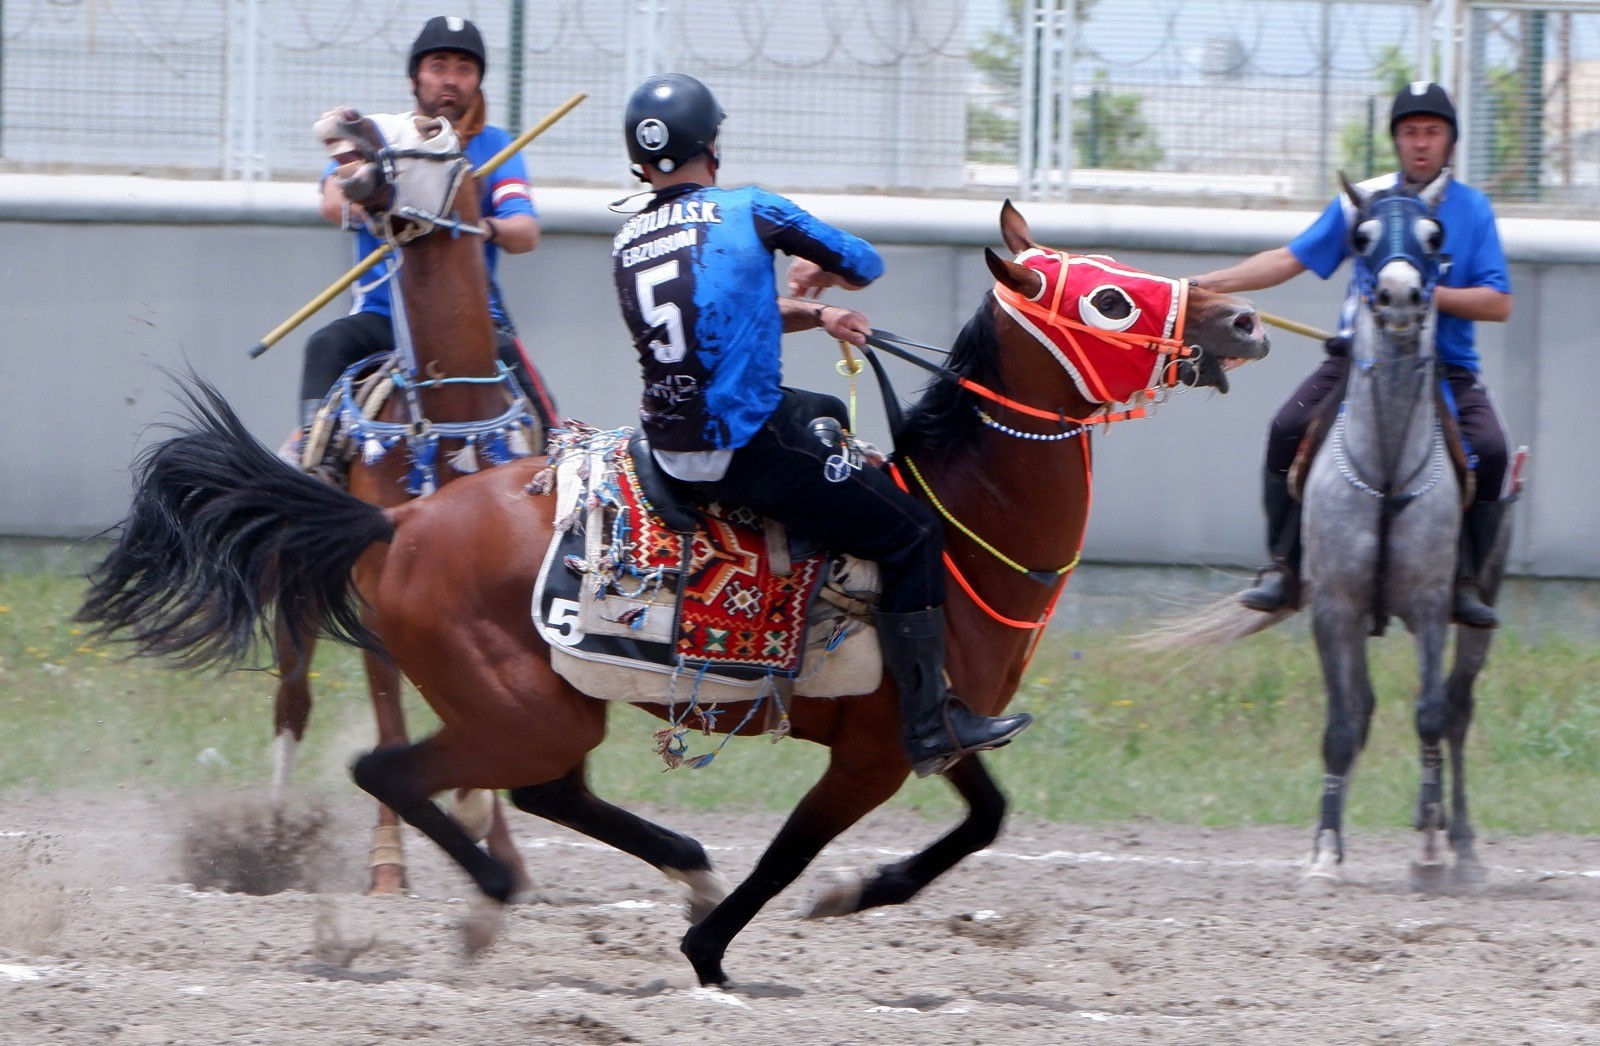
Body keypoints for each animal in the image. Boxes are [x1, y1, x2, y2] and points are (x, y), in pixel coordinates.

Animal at [81, 200, 1267, 985]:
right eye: (1107, 294)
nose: (1243, 323)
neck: (949, 528)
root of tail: (397, 523)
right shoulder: (872, 754)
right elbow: (793, 851)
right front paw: (715, 952)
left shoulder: (932, 727)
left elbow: (983, 819)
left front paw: (854, 894)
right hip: (519, 708)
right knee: (401, 771)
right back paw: (500, 905)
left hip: (545, 705)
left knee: (543, 792)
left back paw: (673, 870)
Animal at [268, 106, 537, 895]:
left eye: (431, 124)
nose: (345, 120)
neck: (448, 419)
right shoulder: (378, 596)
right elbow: (390, 719)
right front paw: (390, 862)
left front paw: (491, 836)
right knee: (293, 700)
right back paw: (274, 834)